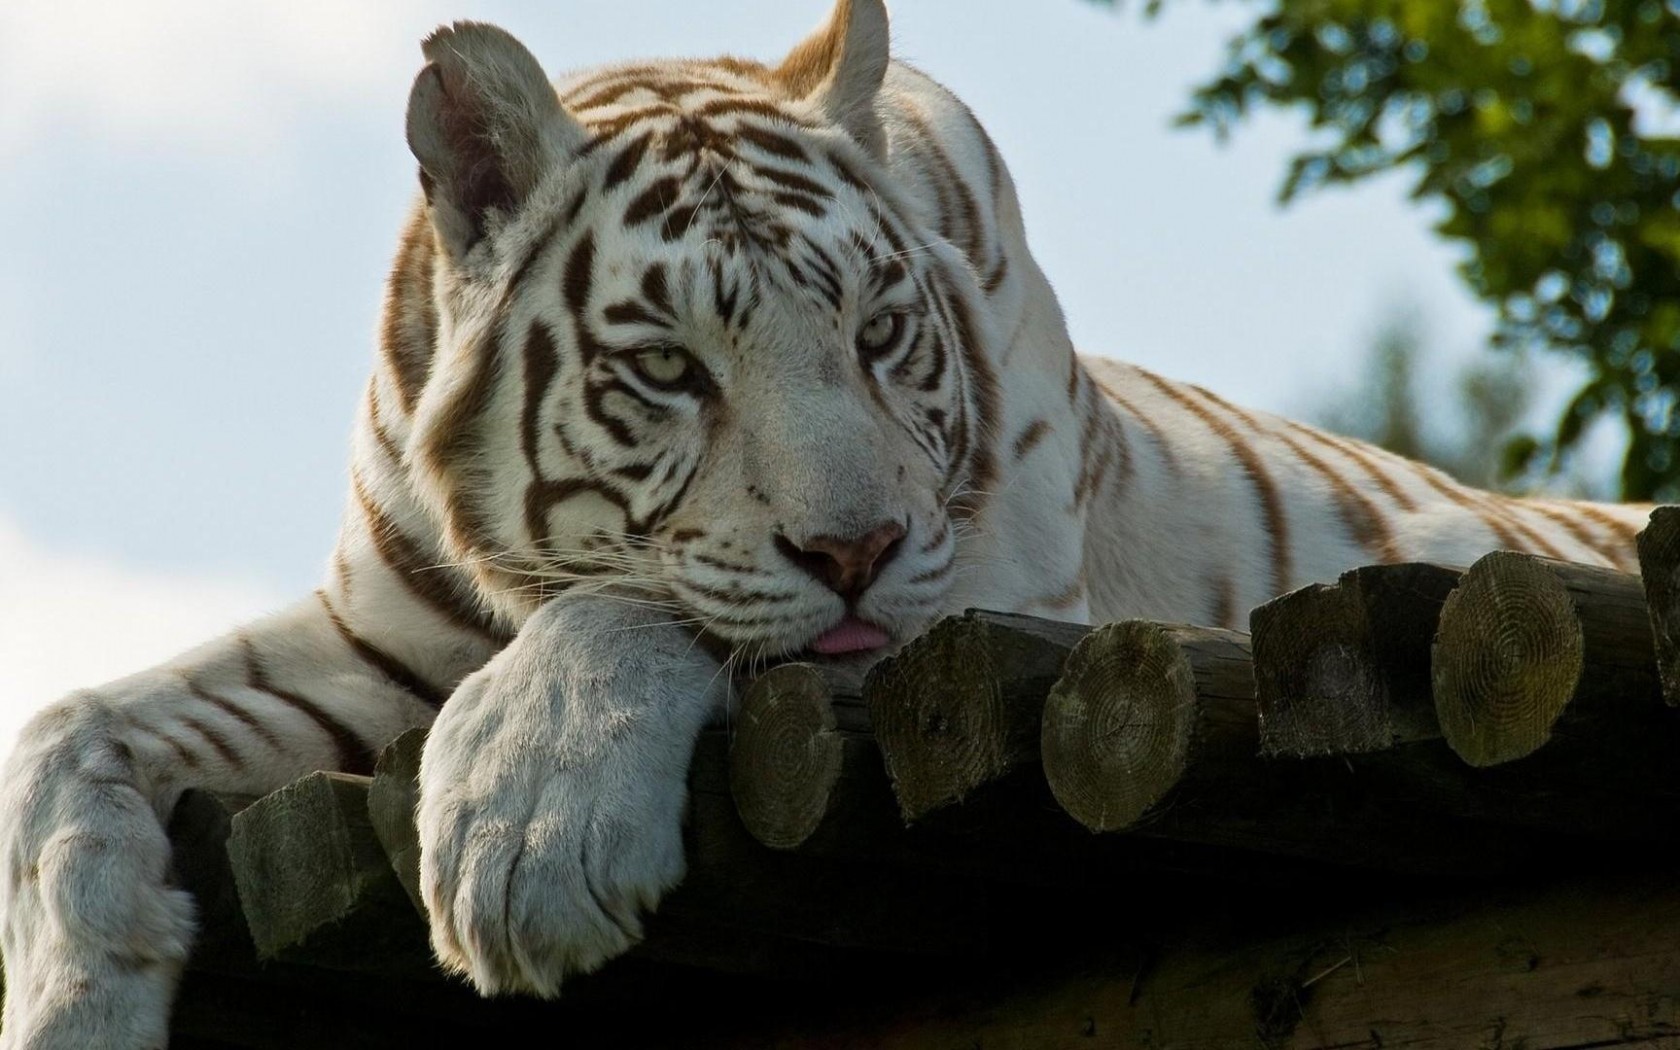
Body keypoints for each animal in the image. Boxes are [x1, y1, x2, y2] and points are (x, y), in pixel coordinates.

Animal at [0, 2, 1654, 1046]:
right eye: (670, 367)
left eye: (875, 333)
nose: (853, 551)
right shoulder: (373, 637)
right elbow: (66, 726)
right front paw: (75, 995)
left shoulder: (980, 584)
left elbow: (645, 603)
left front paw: (523, 838)